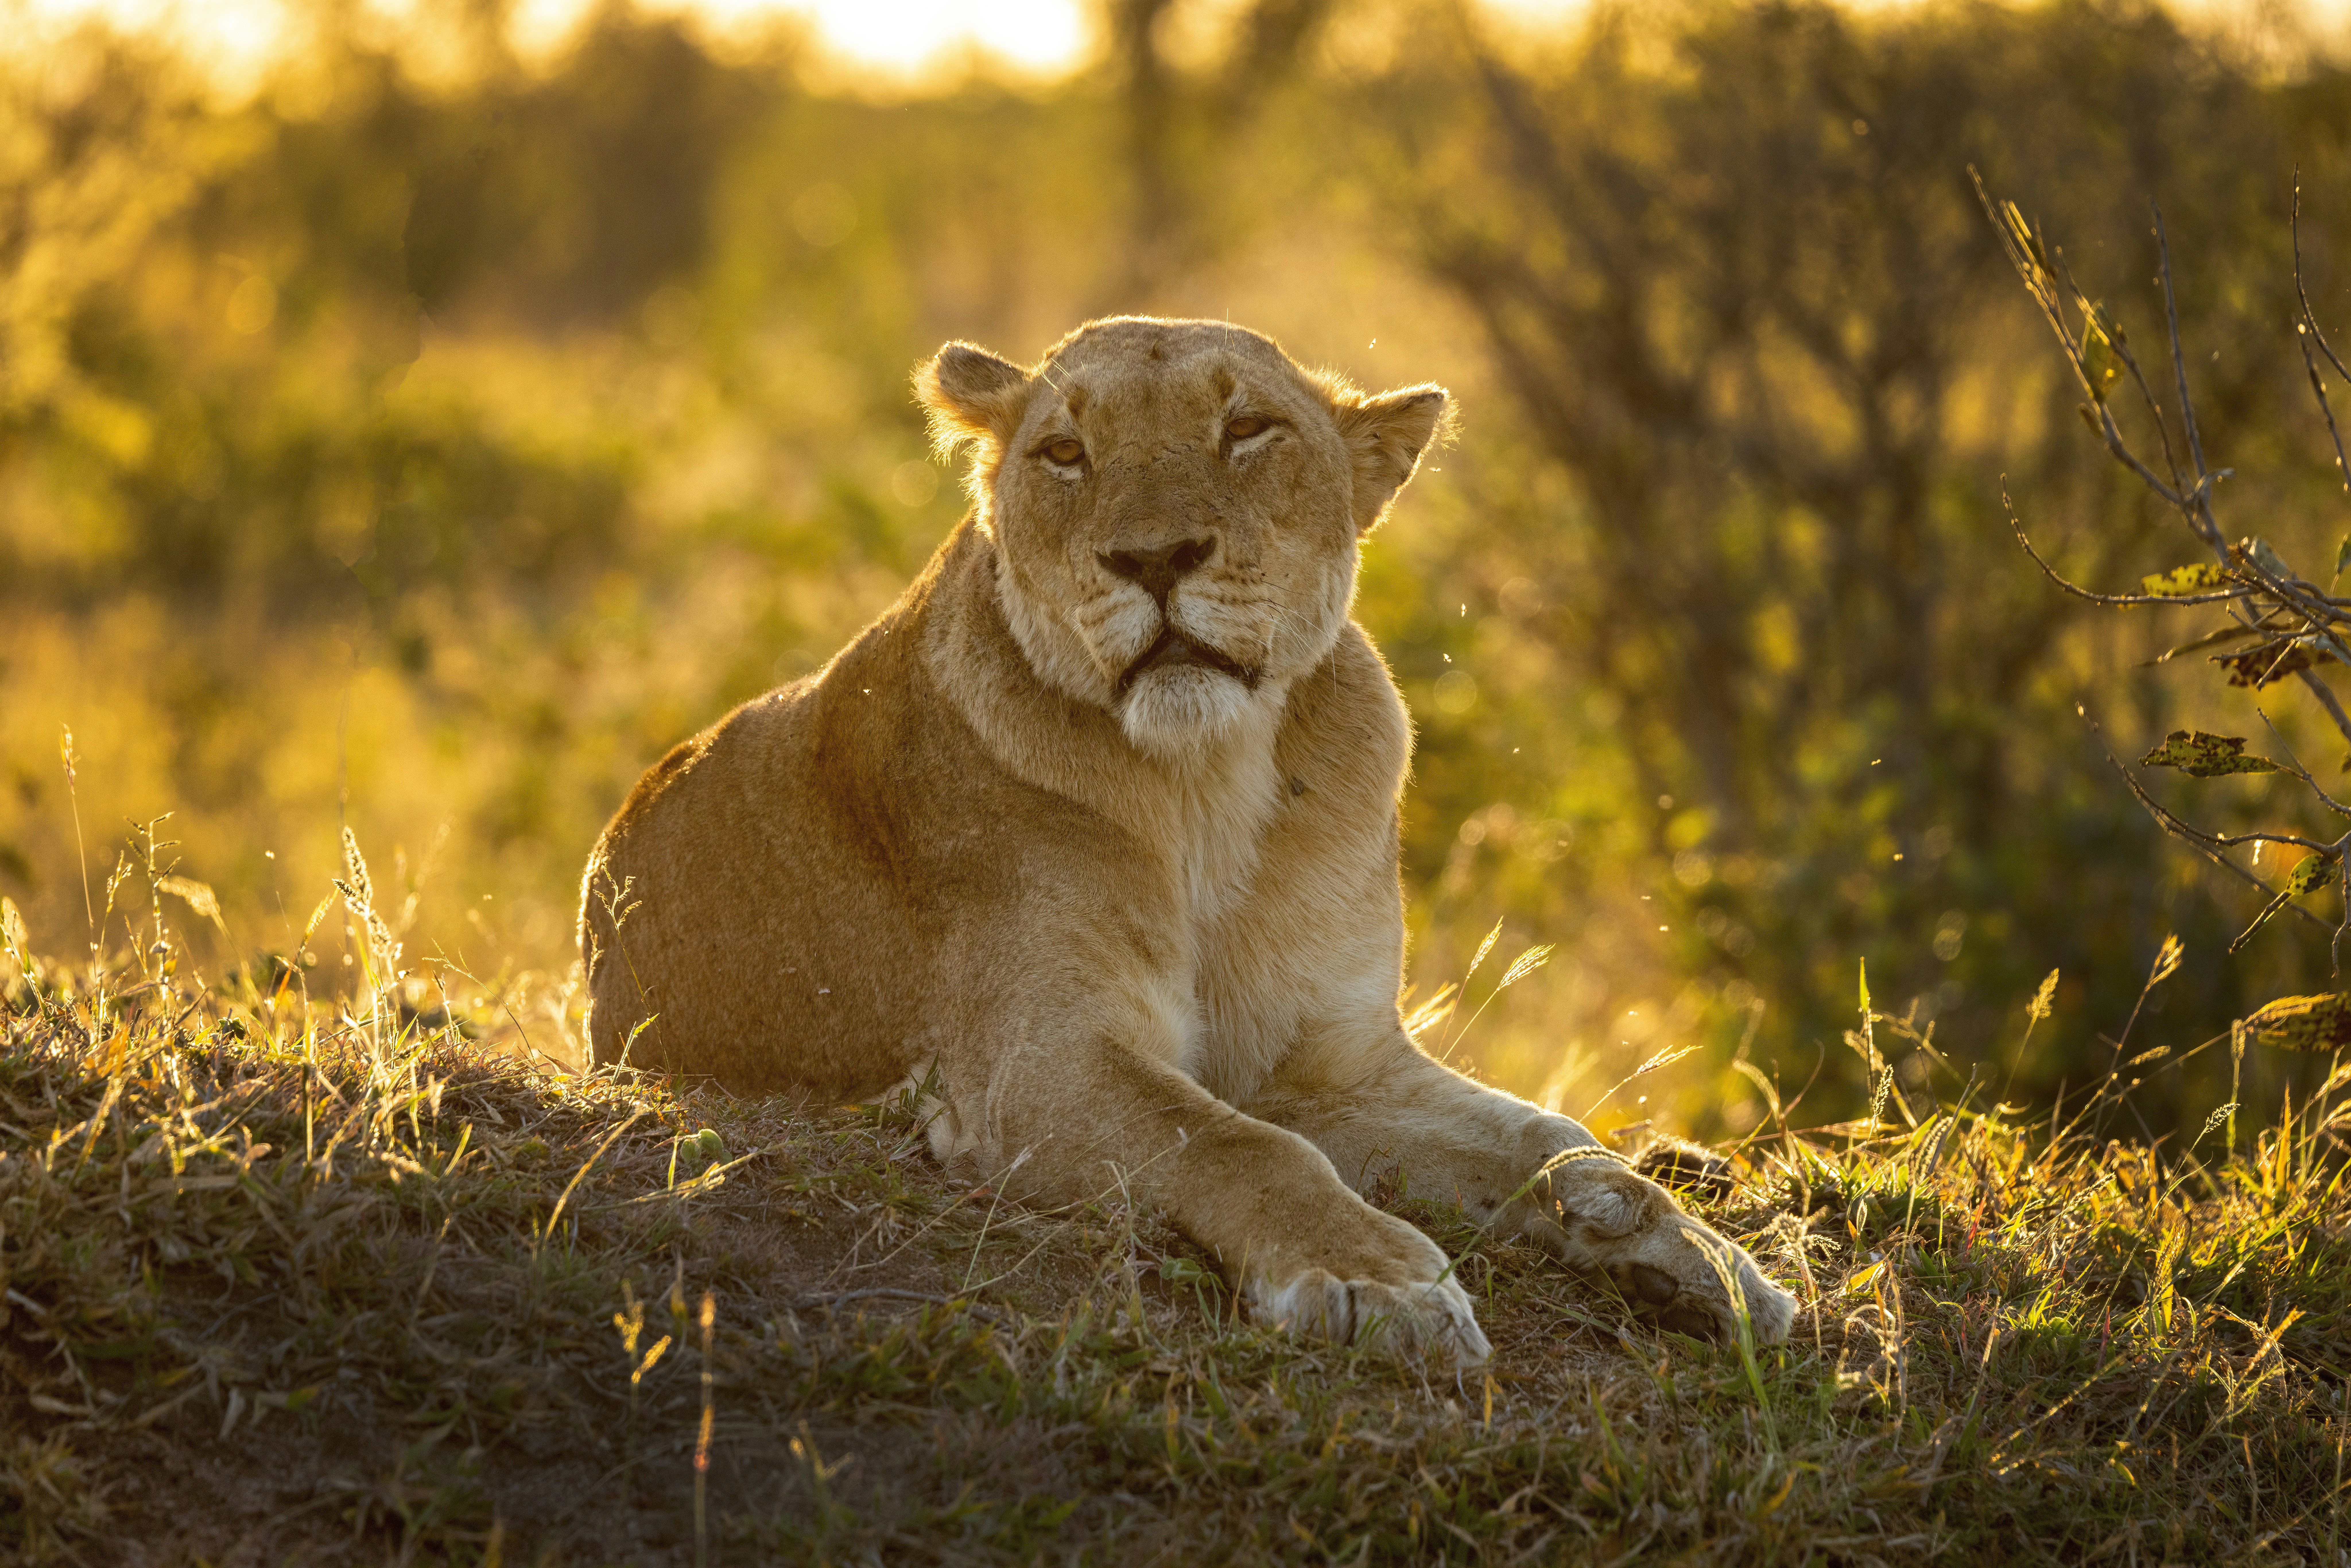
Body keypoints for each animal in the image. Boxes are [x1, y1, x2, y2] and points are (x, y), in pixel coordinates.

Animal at [579, 316, 1797, 1361]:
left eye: (1246, 429)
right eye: (1065, 451)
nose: (1155, 557)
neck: (1207, 781)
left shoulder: (1326, 1065)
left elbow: (1547, 1136)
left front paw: (1693, 1257)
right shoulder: (1030, 1063)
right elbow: (1237, 1145)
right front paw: (1380, 1283)